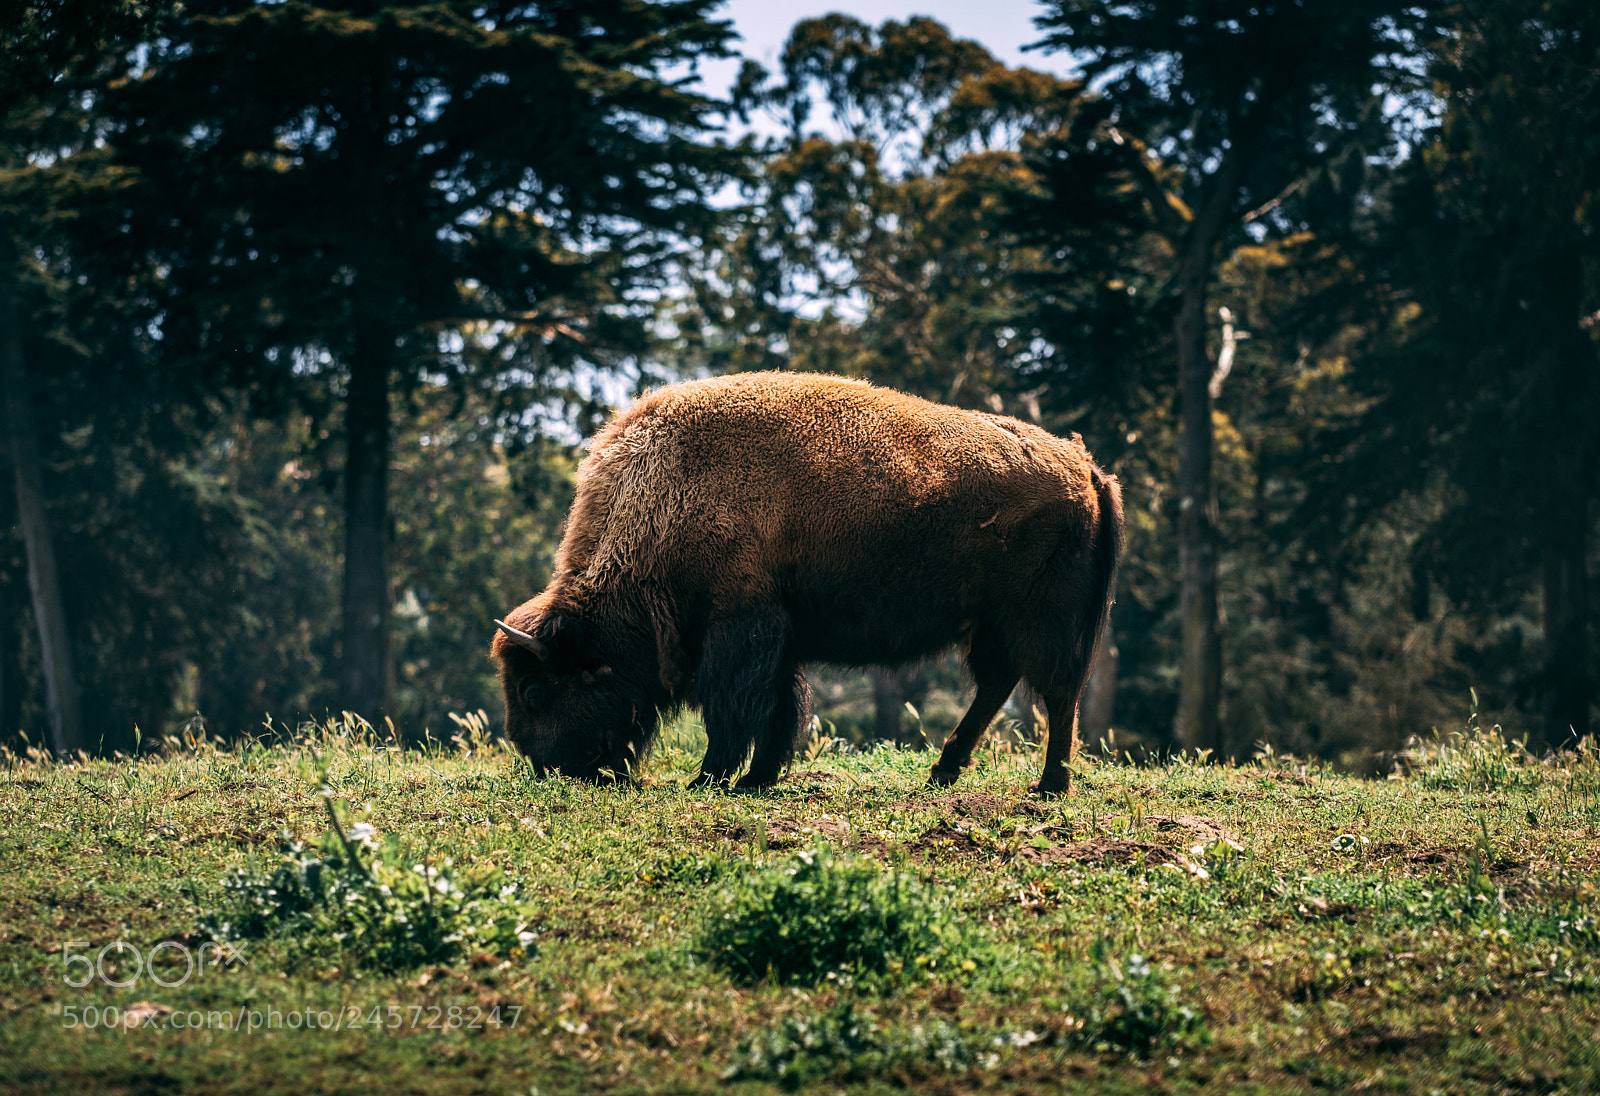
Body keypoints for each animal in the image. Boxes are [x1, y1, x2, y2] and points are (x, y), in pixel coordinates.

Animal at [492, 371, 1122, 795]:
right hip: (991, 624)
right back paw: (944, 772)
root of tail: (1086, 467)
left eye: (535, 690)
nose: (547, 768)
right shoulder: (779, 637)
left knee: (1057, 691)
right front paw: (756, 779)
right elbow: (780, 709)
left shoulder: (739, 626)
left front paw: (710, 779)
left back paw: (1049, 784)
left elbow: (735, 709)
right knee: (1001, 685)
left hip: (1039, 620)